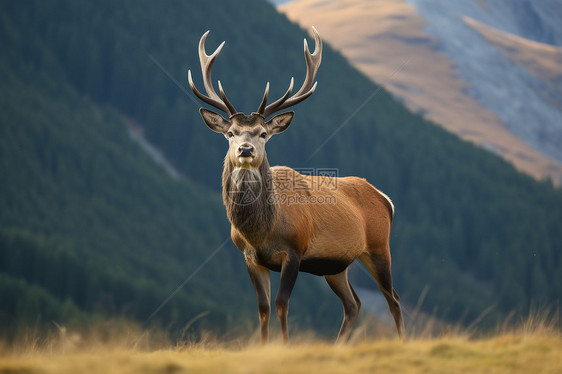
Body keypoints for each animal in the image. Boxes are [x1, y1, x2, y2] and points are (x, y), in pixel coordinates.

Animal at [187, 27, 402, 344]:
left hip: (378, 247)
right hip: (335, 265)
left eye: (263, 133)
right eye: (230, 133)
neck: (261, 231)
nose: (246, 149)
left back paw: (403, 340)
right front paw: (264, 346)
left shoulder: (295, 251)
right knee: (354, 303)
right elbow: (263, 308)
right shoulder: (251, 258)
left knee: (393, 299)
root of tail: (386, 199)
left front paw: (285, 346)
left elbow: (281, 304)